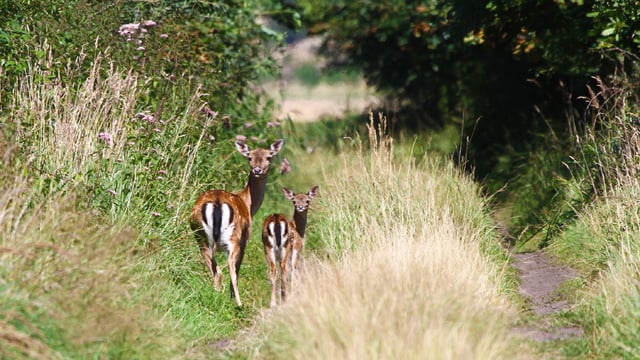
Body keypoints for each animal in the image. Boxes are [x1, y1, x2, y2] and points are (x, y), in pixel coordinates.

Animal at [188, 139, 282, 306]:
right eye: (249, 157)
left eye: (269, 157)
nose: (257, 170)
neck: (248, 203)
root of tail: (217, 202)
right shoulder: (245, 240)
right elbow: (237, 271)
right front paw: (233, 298)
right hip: (234, 238)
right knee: (229, 269)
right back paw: (238, 304)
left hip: (199, 234)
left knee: (215, 270)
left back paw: (216, 297)